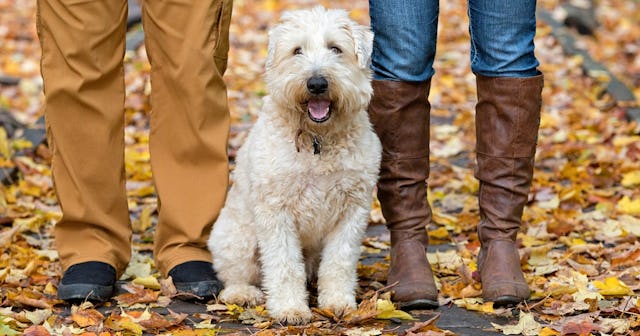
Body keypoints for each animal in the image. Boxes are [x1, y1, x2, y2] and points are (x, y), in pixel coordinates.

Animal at [209, 5, 380, 326]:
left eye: (335, 48)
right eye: (296, 50)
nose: (317, 84)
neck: (318, 140)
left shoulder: (352, 211)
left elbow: (339, 262)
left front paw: (338, 302)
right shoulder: (276, 212)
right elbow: (285, 265)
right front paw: (290, 309)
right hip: (238, 238)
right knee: (234, 275)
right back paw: (243, 294)